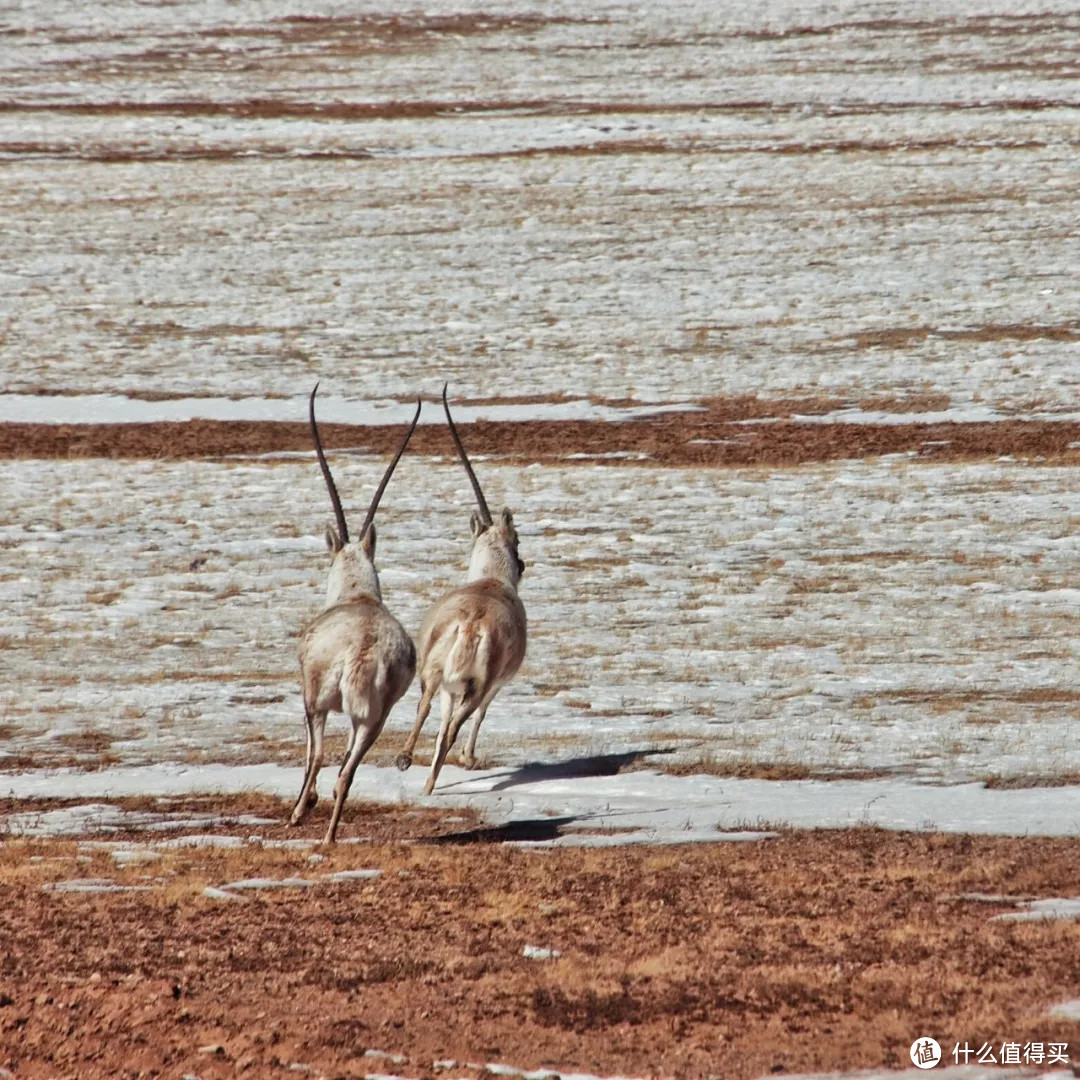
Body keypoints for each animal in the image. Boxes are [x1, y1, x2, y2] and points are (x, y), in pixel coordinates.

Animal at [293, 384, 419, 846]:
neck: (358, 595)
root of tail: (364, 648)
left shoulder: (311, 699)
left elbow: (312, 755)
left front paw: (304, 806)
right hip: (376, 718)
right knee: (347, 771)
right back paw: (330, 836)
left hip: (318, 702)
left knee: (319, 757)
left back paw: (304, 819)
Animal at [399, 382, 529, 794]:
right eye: (517, 540)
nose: (522, 564)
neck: (490, 579)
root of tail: (472, 624)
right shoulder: (495, 686)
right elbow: (479, 717)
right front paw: (470, 759)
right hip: (475, 686)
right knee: (456, 725)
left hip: (435, 676)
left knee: (428, 709)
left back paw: (409, 764)